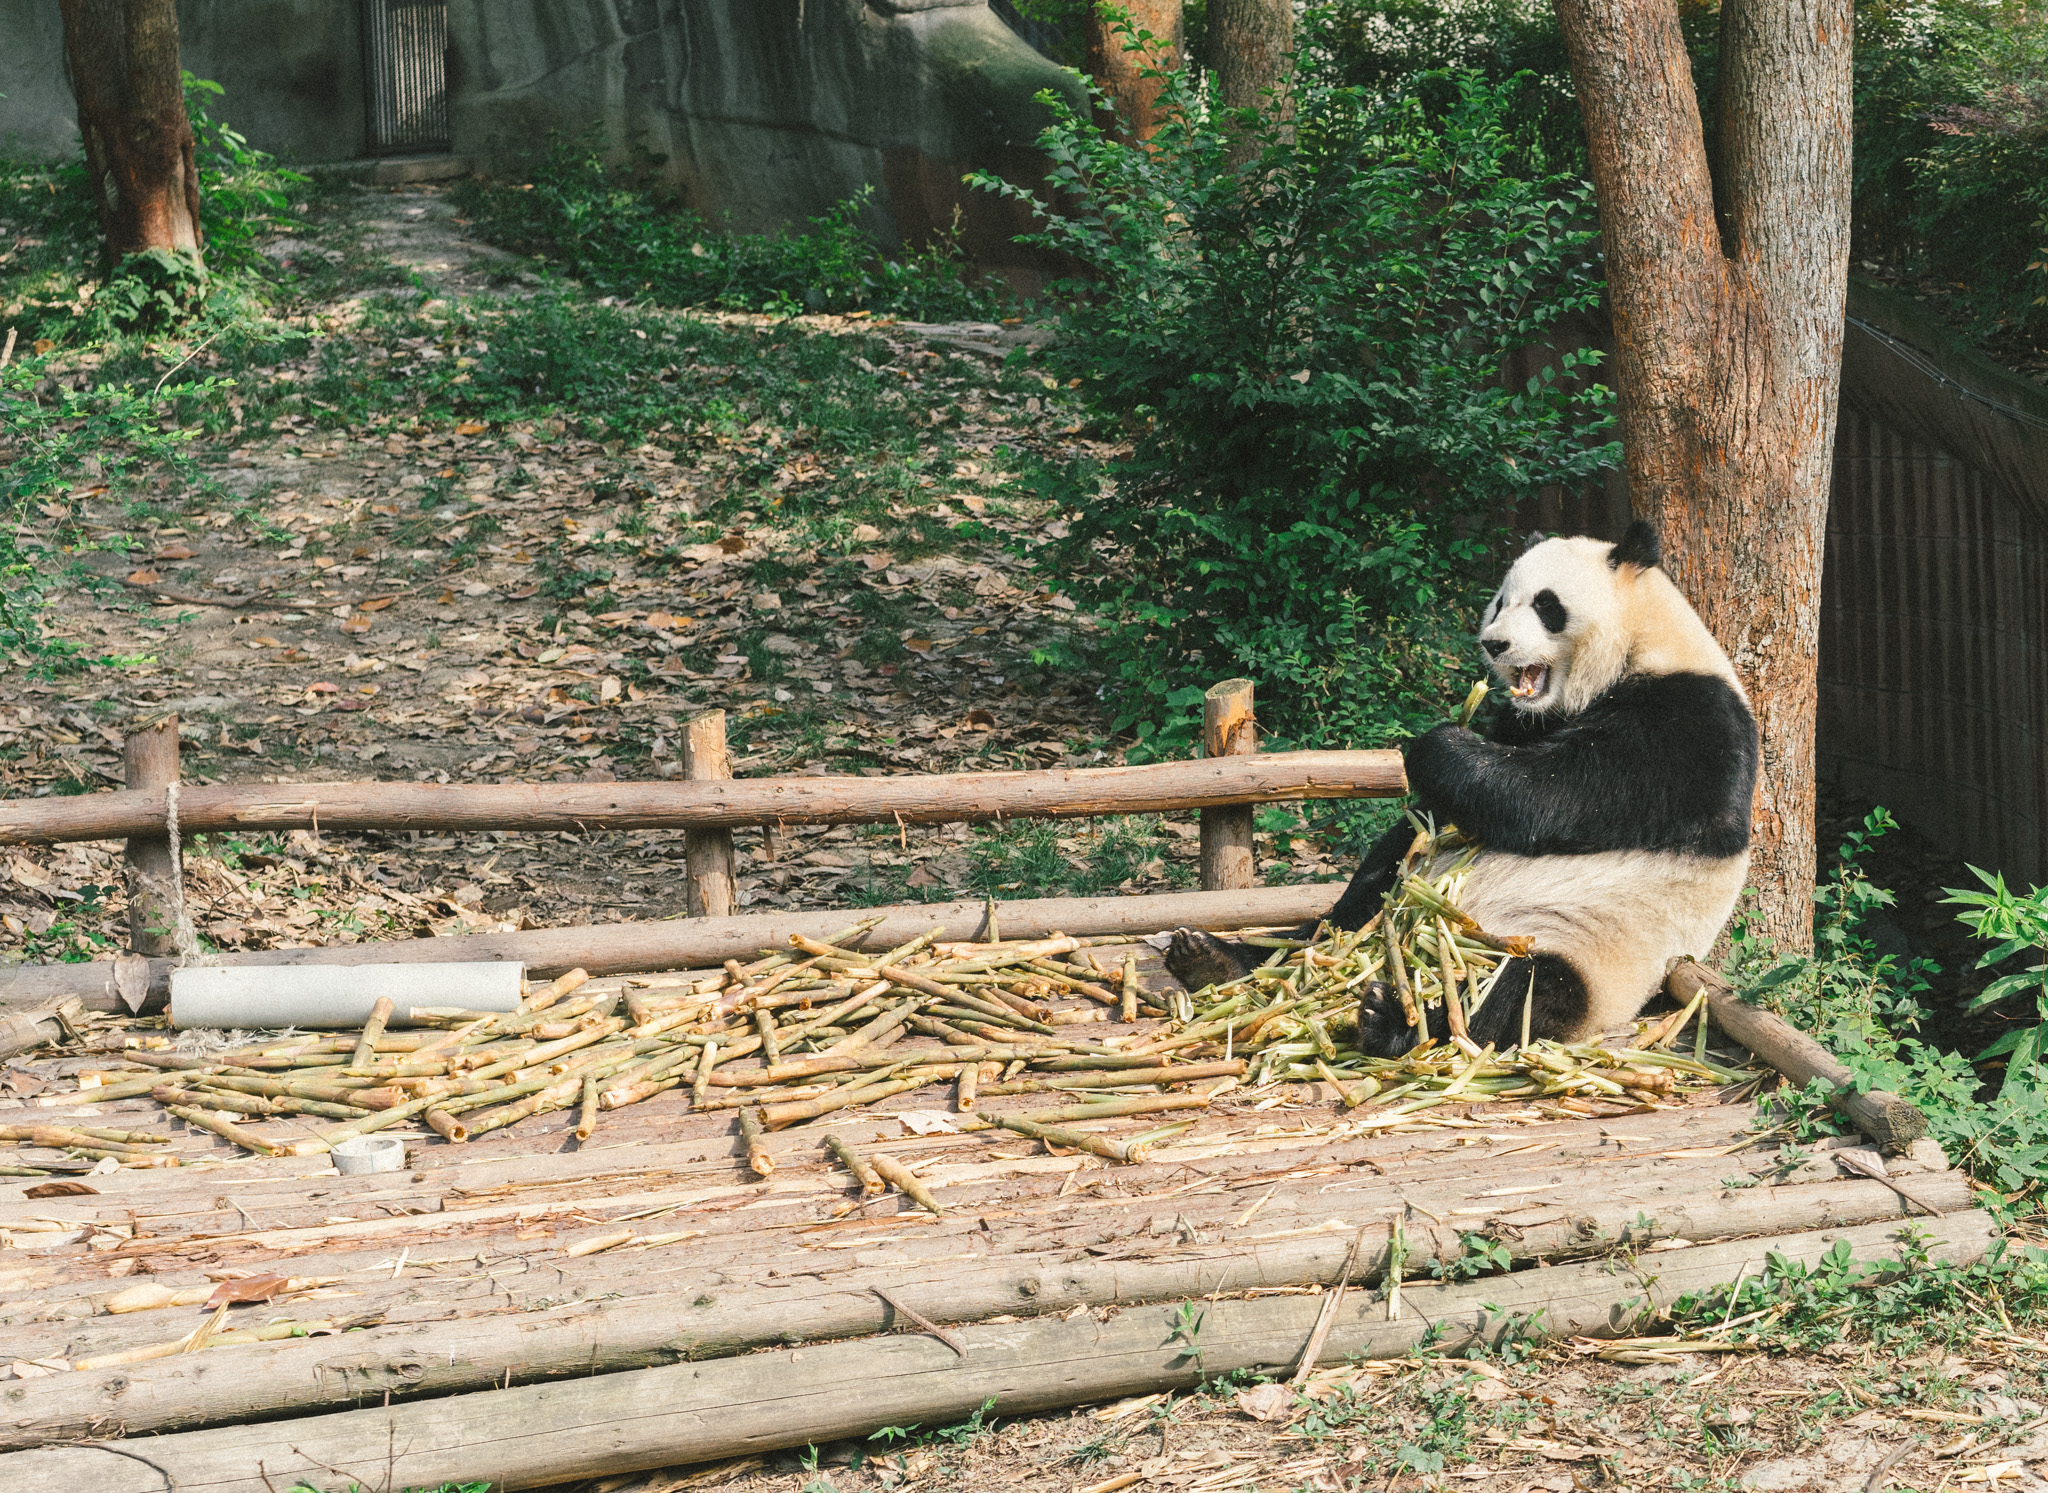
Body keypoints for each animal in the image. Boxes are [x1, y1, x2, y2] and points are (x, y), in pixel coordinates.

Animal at [1171, 518, 1761, 1056]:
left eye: (1547, 605)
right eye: (1500, 602)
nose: (1494, 644)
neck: (1642, 643)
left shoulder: (1688, 722)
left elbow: (1561, 793)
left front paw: (1438, 745)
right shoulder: (1529, 722)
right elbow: (1450, 811)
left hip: (1586, 948)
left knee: (1516, 993)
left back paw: (1392, 1021)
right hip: (1398, 903)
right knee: (1351, 908)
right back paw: (1214, 959)